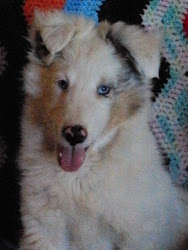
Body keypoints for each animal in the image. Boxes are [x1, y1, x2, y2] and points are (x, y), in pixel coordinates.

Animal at [19, 9, 188, 250]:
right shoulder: (43, 226)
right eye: (62, 83)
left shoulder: (135, 233)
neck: (79, 177)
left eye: (104, 89)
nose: (74, 134)